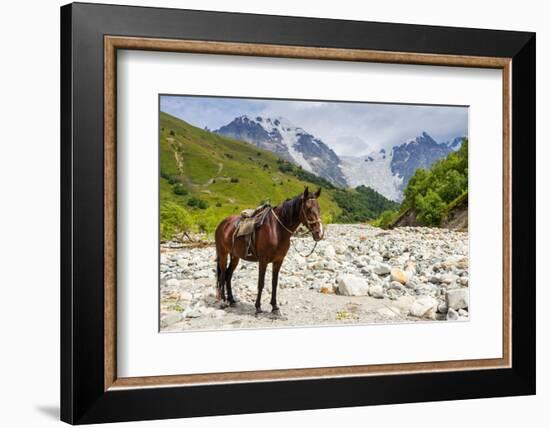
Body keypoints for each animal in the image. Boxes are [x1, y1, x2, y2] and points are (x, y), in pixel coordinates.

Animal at [212, 186, 324, 314]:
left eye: (319, 208)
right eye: (308, 209)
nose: (319, 233)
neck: (276, 229)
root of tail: (222, 224)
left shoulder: (278, 261)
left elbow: (274, 283)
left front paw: (274, 306)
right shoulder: (263, 261)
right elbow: (261, 283)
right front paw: (258, 307)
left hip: (235, 256)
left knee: (228, 275)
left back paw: (231, 300)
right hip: (223, 253)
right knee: (222, 275)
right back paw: (223, 300)